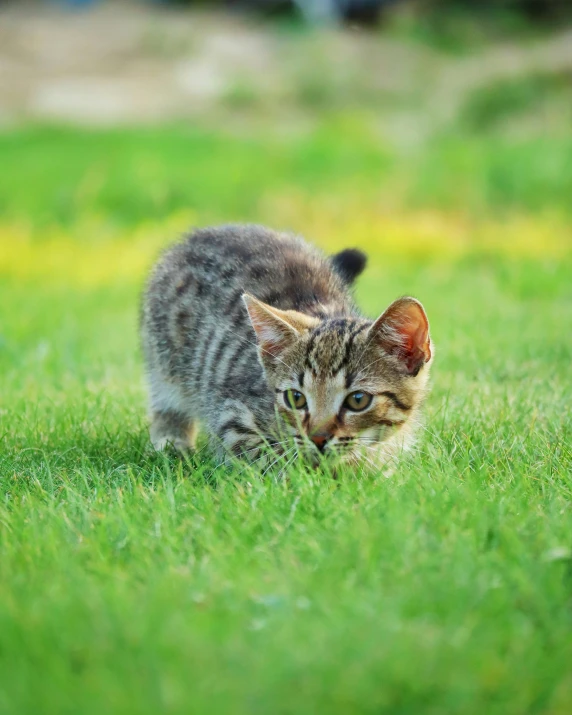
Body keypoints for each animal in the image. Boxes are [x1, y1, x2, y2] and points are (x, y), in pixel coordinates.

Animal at [141, 224, 432, 470]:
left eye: (358, 400)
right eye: (295, 398)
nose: (318, 438)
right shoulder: (232, 417)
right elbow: (271, 461)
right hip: (164, 360)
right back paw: (172, 443)